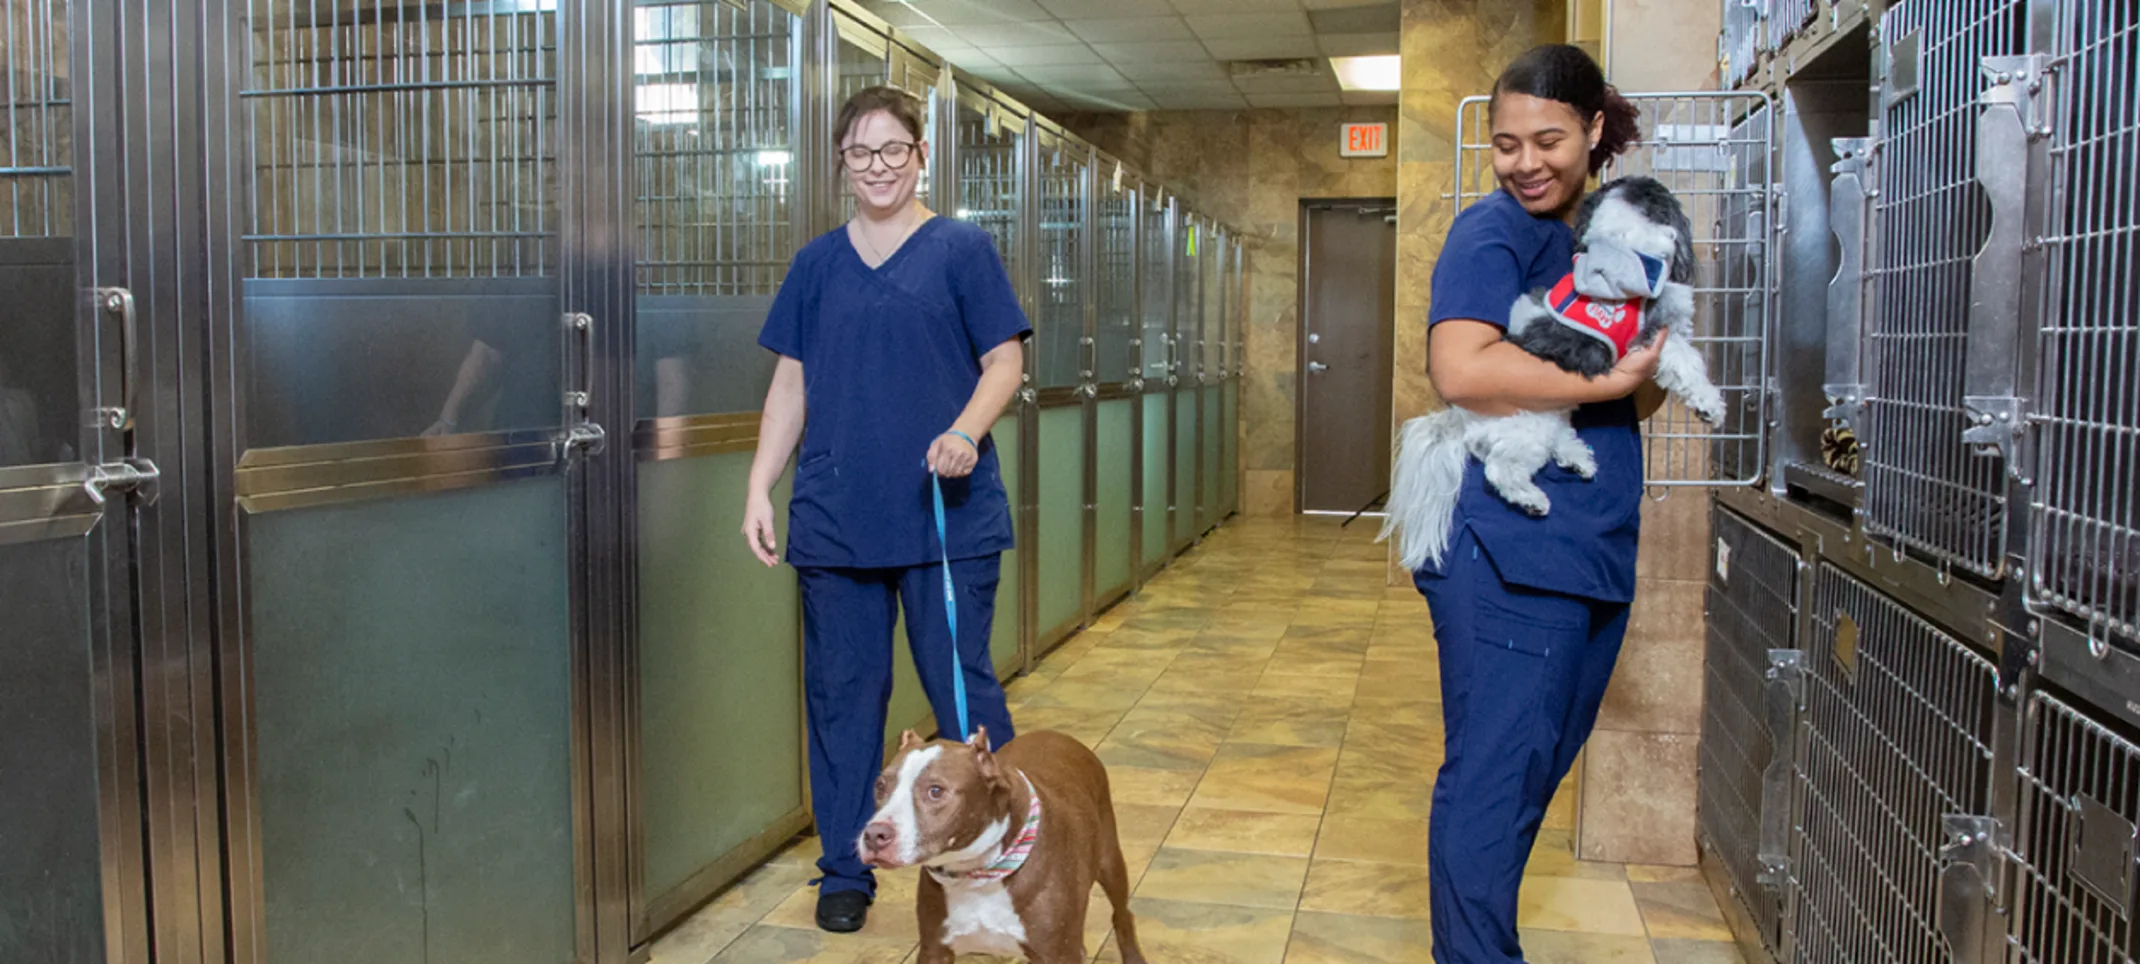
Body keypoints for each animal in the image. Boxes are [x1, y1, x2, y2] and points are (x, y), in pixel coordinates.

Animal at [856, 728, 1147, 959]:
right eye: (880, 786)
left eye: (935, 791)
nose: (874, 835)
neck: (976, 874)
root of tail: (1059, 734)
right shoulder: (934, 949)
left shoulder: (1060, 954)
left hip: (1110, 861)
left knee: (1122, 914)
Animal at [1386, 175, 1720, 569]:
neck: (1622, 247)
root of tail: (1460, 418)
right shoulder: (1651, 339)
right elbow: (1686, 362)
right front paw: (1709, 405)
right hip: (1530, 429)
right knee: (1499, 468)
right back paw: (1532, 499)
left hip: (1553, 413)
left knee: (1556, 438)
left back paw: (1579, 459)